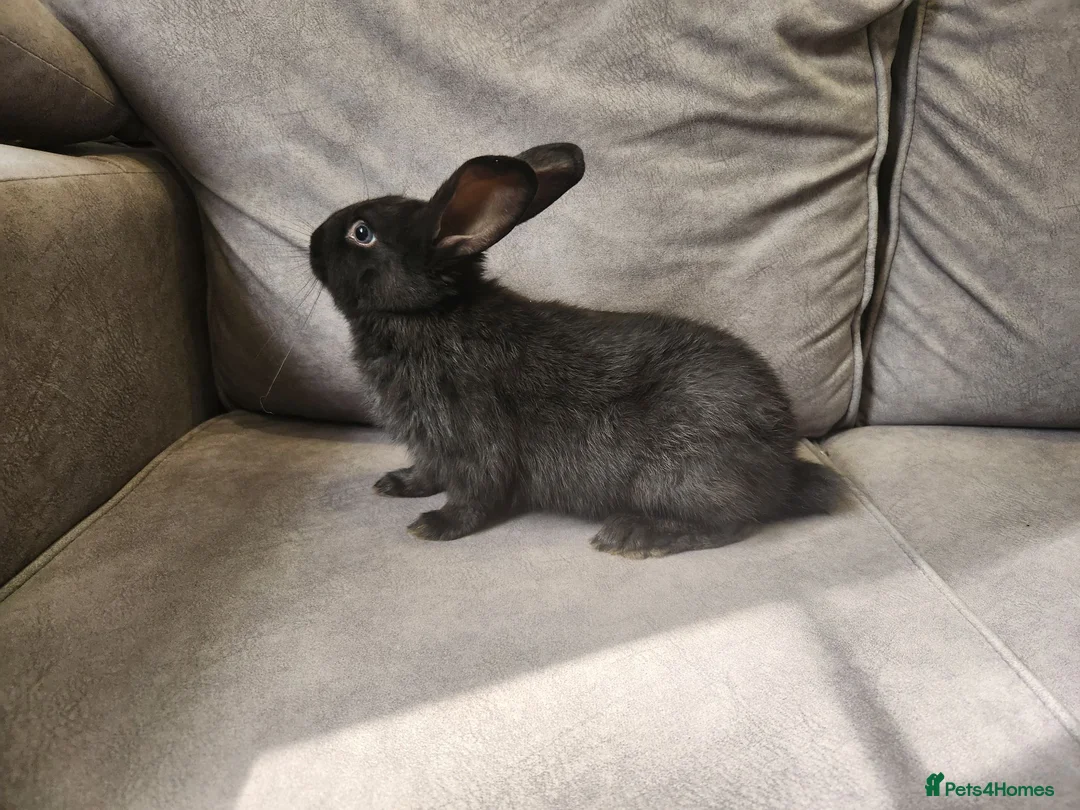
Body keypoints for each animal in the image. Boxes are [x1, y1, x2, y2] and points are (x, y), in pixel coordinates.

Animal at [308, 143, 840, 558]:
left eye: (362, 233)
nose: (312, 240)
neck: (427, 315)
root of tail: (782, 463)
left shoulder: (474, 436)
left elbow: (475, 493)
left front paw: (434, 525)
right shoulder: (430, 443)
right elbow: (426, 470)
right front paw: (397, 484)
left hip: (682, 474)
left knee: (734, 523)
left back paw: (634, 535)